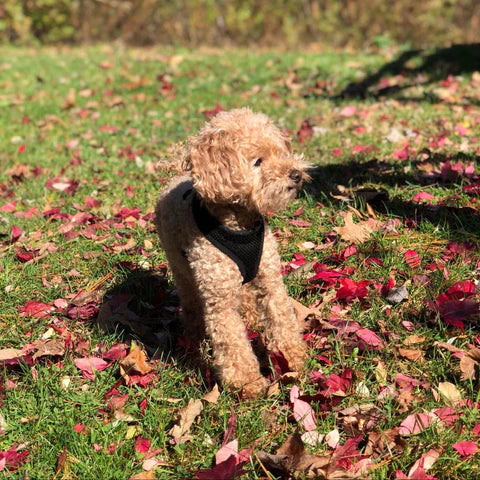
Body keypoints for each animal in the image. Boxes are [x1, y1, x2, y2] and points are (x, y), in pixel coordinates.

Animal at [156, 109, 310, 398]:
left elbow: (281, 319)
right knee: (191, 303)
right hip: (182, 270)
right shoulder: (220, 298)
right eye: (258, 161)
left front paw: (294, 359)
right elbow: (233, 342)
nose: (295, 174)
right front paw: (247, 383)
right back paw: (194, 338)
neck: (240, 225)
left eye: (280, 152)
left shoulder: (270, 279)